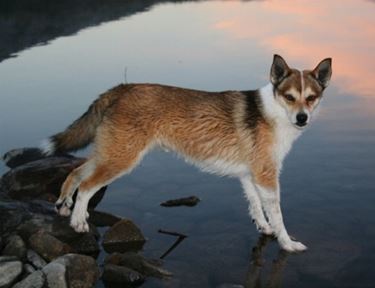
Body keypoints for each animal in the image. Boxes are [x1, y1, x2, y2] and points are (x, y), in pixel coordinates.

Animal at [42, 54, 334, 252]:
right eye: (289, 96)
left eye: (311, 97)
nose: (302, 118)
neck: (272, 111)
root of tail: (122, 88)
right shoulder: (266, 176)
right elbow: (278, 214)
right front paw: (287, 243)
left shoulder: (250, 175)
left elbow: (256, 207)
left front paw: (264, 228)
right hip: (122, 158)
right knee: (87, 186)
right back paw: (78, 222)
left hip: (110, 152)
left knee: (76, 172)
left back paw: (65, 207)